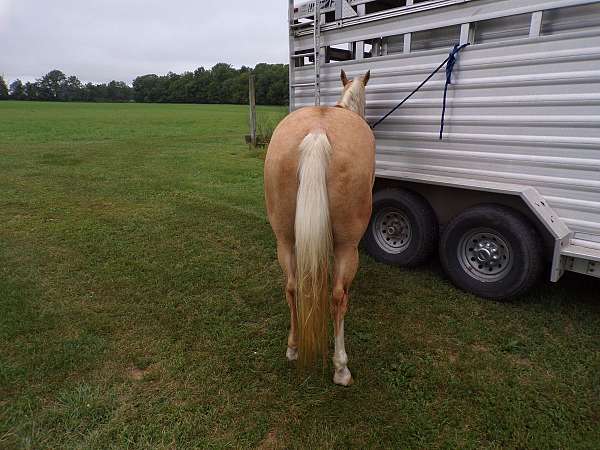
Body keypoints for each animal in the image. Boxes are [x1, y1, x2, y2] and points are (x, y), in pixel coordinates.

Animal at [264, 68, 372, 384]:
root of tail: (317, 133)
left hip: (285, 240)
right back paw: (341, 367)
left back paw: (293, 347)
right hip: (348, 246)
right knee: (337, 298)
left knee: (291, 288)